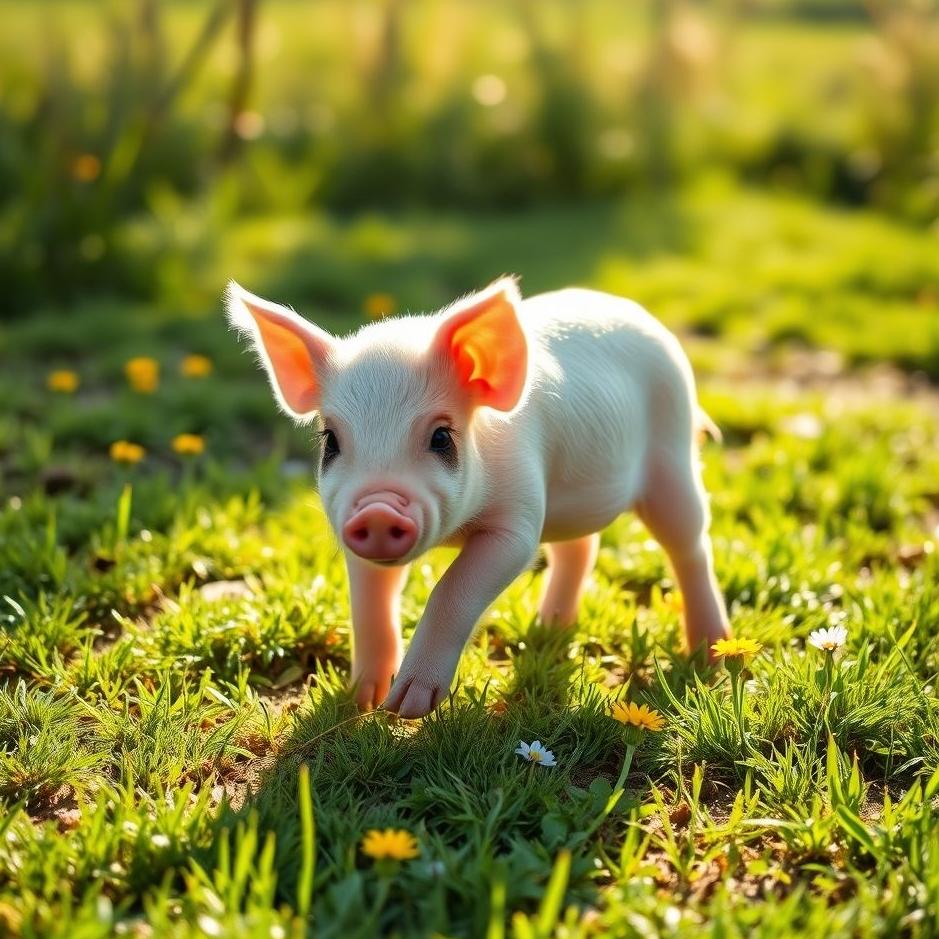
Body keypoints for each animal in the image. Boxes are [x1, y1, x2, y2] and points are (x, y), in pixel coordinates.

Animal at [226, 278, 730, 718]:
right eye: (330, 441)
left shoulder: (518, 519)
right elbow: (368, 604)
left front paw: (407, 707)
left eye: (442, 437)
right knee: (579, 548)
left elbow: (453, 589)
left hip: (673, 454)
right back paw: (548, 630)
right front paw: (365, 701)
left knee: (690, 546)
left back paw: (711, 653)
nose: (377, 510)